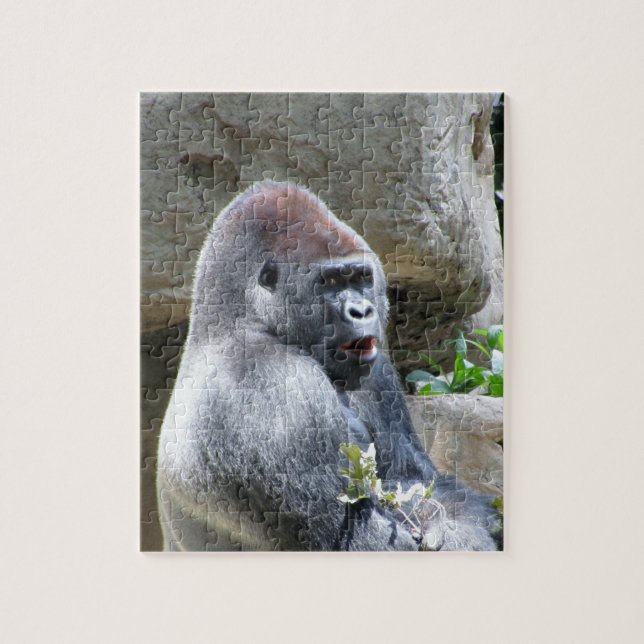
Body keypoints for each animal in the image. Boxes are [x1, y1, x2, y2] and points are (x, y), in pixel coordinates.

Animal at [156, 181, 501, 551]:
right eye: (330, 282)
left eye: (362, 278)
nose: (362, 311)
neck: (242, 321)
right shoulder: (280, 391)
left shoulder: (374, 367)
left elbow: (412, 479)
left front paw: (454, 528)